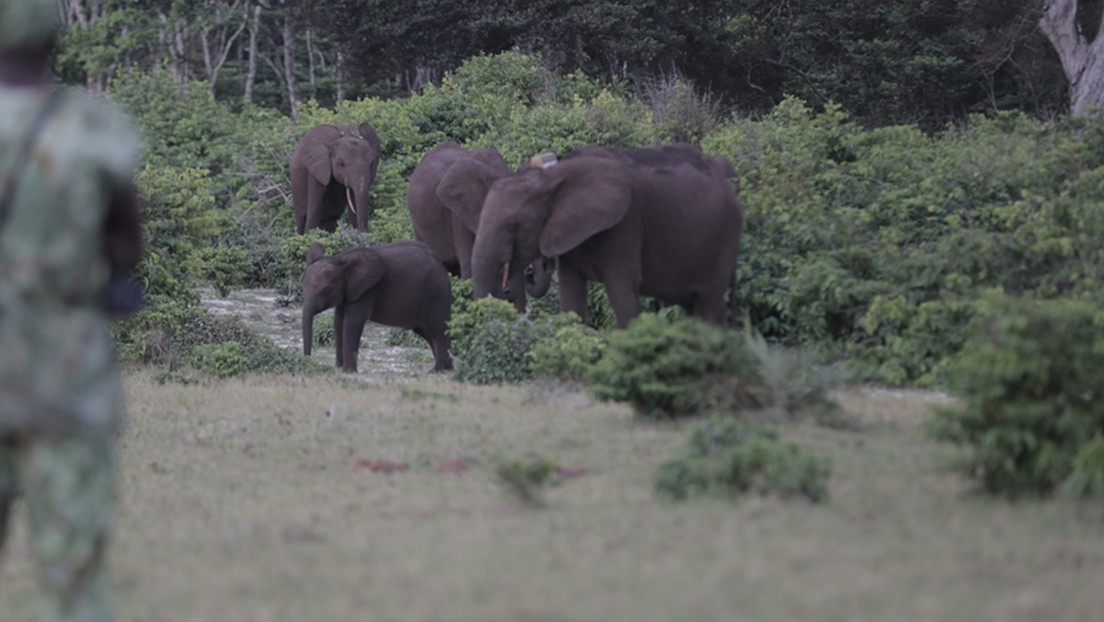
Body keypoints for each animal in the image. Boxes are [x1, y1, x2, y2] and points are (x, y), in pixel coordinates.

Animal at [300, 240, 450, 373]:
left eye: (326, 290)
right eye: (303, 288)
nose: (308, 362)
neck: (339, 260)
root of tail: (440, 263)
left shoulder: (367, 291)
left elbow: (353, 322)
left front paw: (348, 372)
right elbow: (338, 322)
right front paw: (338, 368)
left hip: (437, 294)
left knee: (438, 331)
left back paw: (438, 371)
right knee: (427, 333)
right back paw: (446, 369)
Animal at [470, 145, 746, 329]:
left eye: (512, 226)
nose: (527, 273)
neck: (553, 175)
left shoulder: (625, 225)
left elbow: (622, 291)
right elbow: (571, 296)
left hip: (725, 237)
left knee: (708, 306)